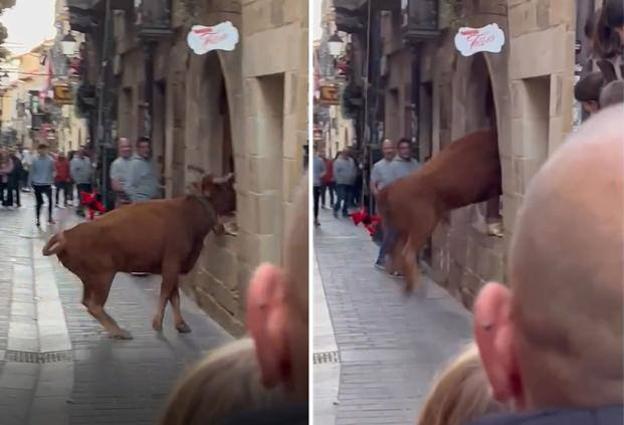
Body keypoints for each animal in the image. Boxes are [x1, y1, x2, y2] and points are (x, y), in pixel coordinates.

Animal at [41, 172, 236, 338]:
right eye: (223, 188)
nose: (235, 204)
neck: (188, 215)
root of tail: (66, 235)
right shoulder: (172, 263)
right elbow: (166, 292)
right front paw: (157, 323)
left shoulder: (174, 267)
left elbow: (174, 296)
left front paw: (181, 325)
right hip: (103, 276)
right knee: (94, 305)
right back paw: (119, 332)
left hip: (90, 280)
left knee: (87, 302)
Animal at [376, 129, 502, 294]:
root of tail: (388, 190)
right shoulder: (494, 185)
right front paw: (496, 227)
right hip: (423, 222)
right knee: (407, 251)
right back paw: (414, 286)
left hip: (407, 226)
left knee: (396, 248)